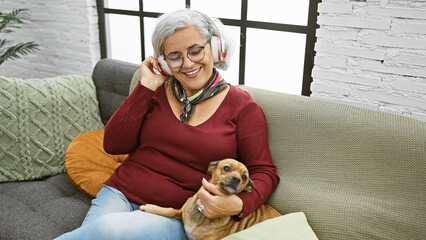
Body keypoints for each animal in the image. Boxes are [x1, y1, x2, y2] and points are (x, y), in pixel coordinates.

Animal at [138, 158, 282, 239]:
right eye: (227, 168)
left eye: (244, 176)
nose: (237, 179)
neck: (201, 214)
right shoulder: (181, 212)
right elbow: (169, 210)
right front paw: (149, 207)